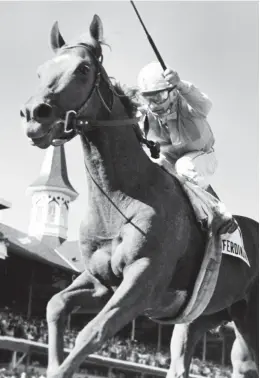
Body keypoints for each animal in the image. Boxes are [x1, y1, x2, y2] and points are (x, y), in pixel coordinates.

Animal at [20, 14, 258, 378]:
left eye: (83, 69)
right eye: (40, 71)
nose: (35, 115)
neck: (124, 196)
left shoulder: (145, 279)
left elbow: (93, 331)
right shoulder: (101, 280)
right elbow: (55, 304)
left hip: (249, 318)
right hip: (203, 316)